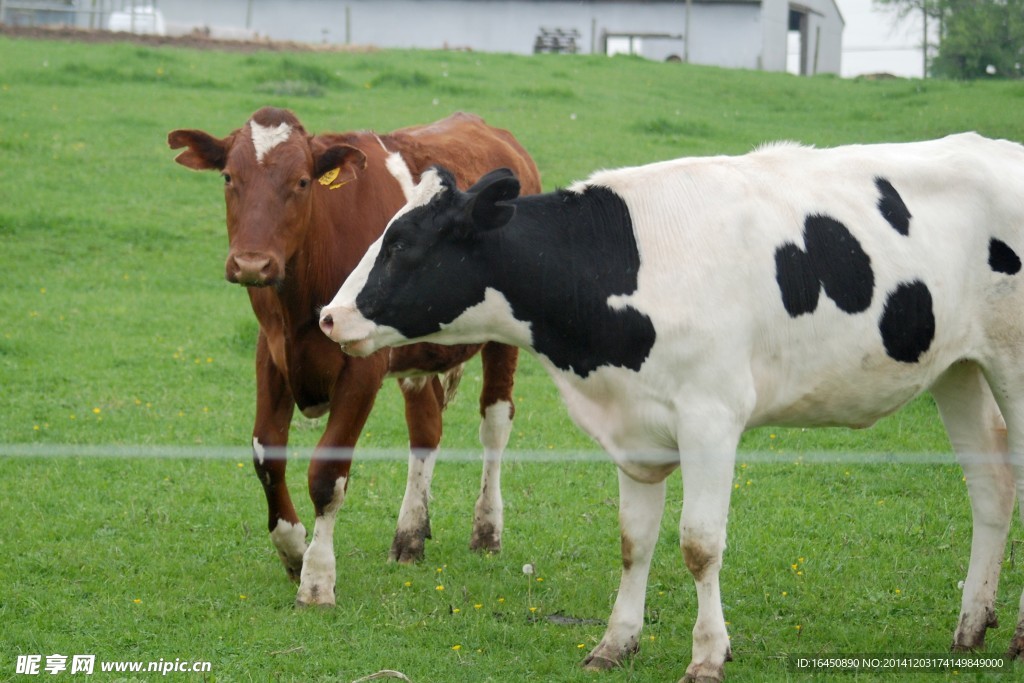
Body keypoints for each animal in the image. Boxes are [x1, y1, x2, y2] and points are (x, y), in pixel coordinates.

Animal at [165, 109, 544, 606]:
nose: (251, 264)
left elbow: (328, 473)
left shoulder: (361, 367)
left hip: (503, 339)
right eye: (229, 177)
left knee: (495, 423)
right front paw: (293, 549)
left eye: (302, 181)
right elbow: (267, 456)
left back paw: (487, 530)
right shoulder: (271, 354)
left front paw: (317, 580)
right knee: (426, 430)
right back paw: (410, 535)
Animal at [323, 135, 1024, 683]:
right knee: (991, 484)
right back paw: (971, 628)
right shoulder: (633, 428)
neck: (617, 266)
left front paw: (708, 655)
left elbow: (699, 545)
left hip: (1012, 365)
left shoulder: (712, 418)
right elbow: (634, 542)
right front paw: (615, 643)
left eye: (403, 244)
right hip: (957, 369)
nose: (330, 316)